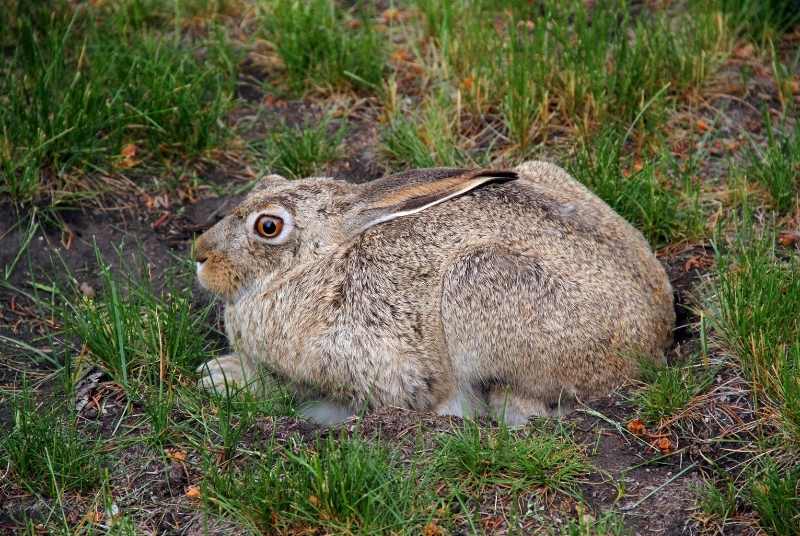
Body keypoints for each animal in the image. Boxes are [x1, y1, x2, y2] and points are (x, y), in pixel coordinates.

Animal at [194, 161, 675, 426]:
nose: (199, 254)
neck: (322, 261)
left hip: (480, 280)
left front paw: (222, 377)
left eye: (268, 226)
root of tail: (656, 336)